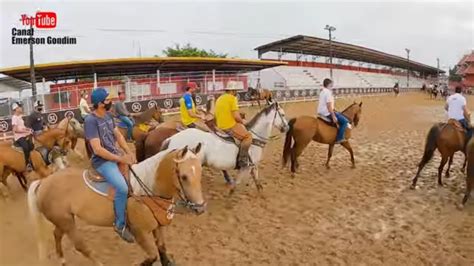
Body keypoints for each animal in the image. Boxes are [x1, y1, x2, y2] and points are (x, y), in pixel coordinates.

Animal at [27, 145, 205, 266]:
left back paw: (62, 260)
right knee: (81, 246)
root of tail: (44, 182)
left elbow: (161, 249)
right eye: (184, 176)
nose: (200, 207)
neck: (146, 190)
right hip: (67, 222)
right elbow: (152, 255)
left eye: (200, 172)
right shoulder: (139, 233)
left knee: (57, 234)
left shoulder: (158, 226)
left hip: (63, 220)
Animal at [160, 102, 288, 193]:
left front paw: (260, 192)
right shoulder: (247, 166)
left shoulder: (253, 165)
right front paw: (231, 191)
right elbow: (238, 181)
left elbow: (256, 180)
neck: (255, 139)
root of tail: (171, 139)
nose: (286, 128)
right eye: (282, 114)